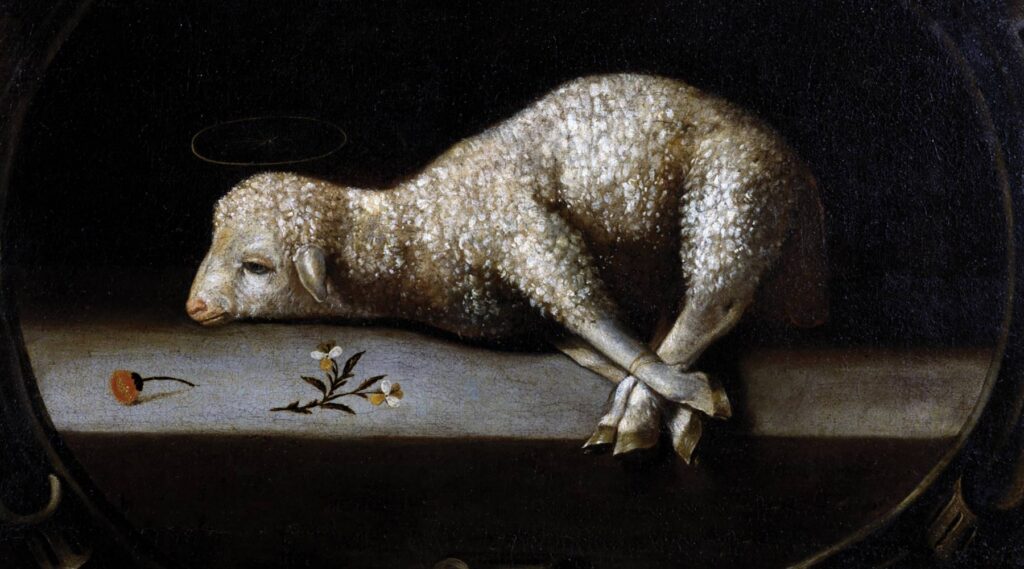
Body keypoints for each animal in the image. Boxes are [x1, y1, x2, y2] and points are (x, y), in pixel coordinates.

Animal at [186, 73, 828, 461]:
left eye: (256, 266)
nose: (193, 305)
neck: (413, 231)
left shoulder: (537, 243)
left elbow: (605, 328)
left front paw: (678, 401)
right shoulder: (530, 320)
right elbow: (598, 353)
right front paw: (663, 413)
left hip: (732, 203)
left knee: (715, 300)